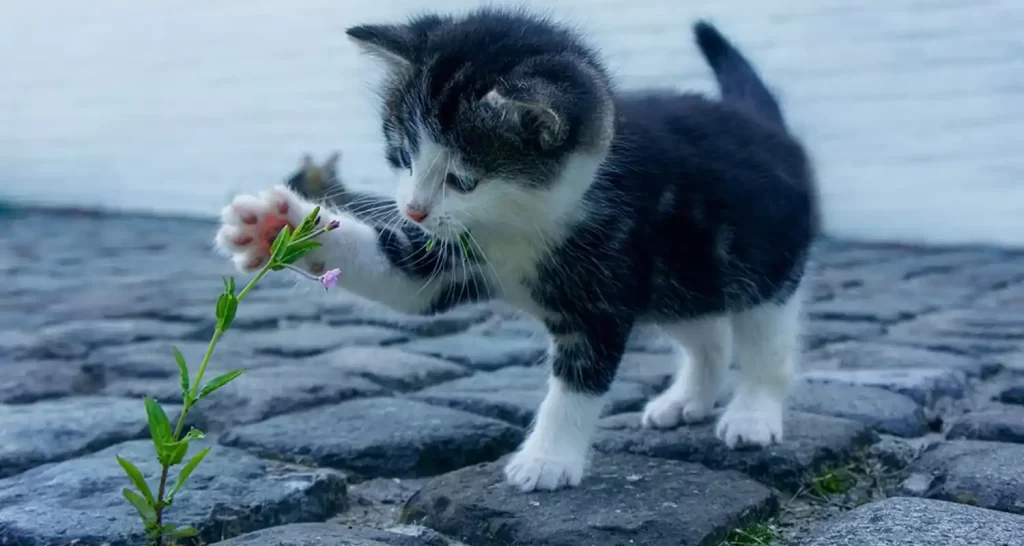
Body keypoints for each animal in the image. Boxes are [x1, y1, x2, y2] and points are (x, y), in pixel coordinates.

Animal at [214, 8, 815, 491]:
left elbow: (578, 381)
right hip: (680, 279)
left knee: (765, 344)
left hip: (763, 264)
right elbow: (402, 277)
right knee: (707, 333)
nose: (413, 210)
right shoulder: (450, 256)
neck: (521, 223)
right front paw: (276, 226)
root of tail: (764, 124)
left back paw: (752, 414)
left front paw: (548, 460)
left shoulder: (605, 284)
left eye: (462, 179)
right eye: (402, 156)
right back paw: (687, 399)